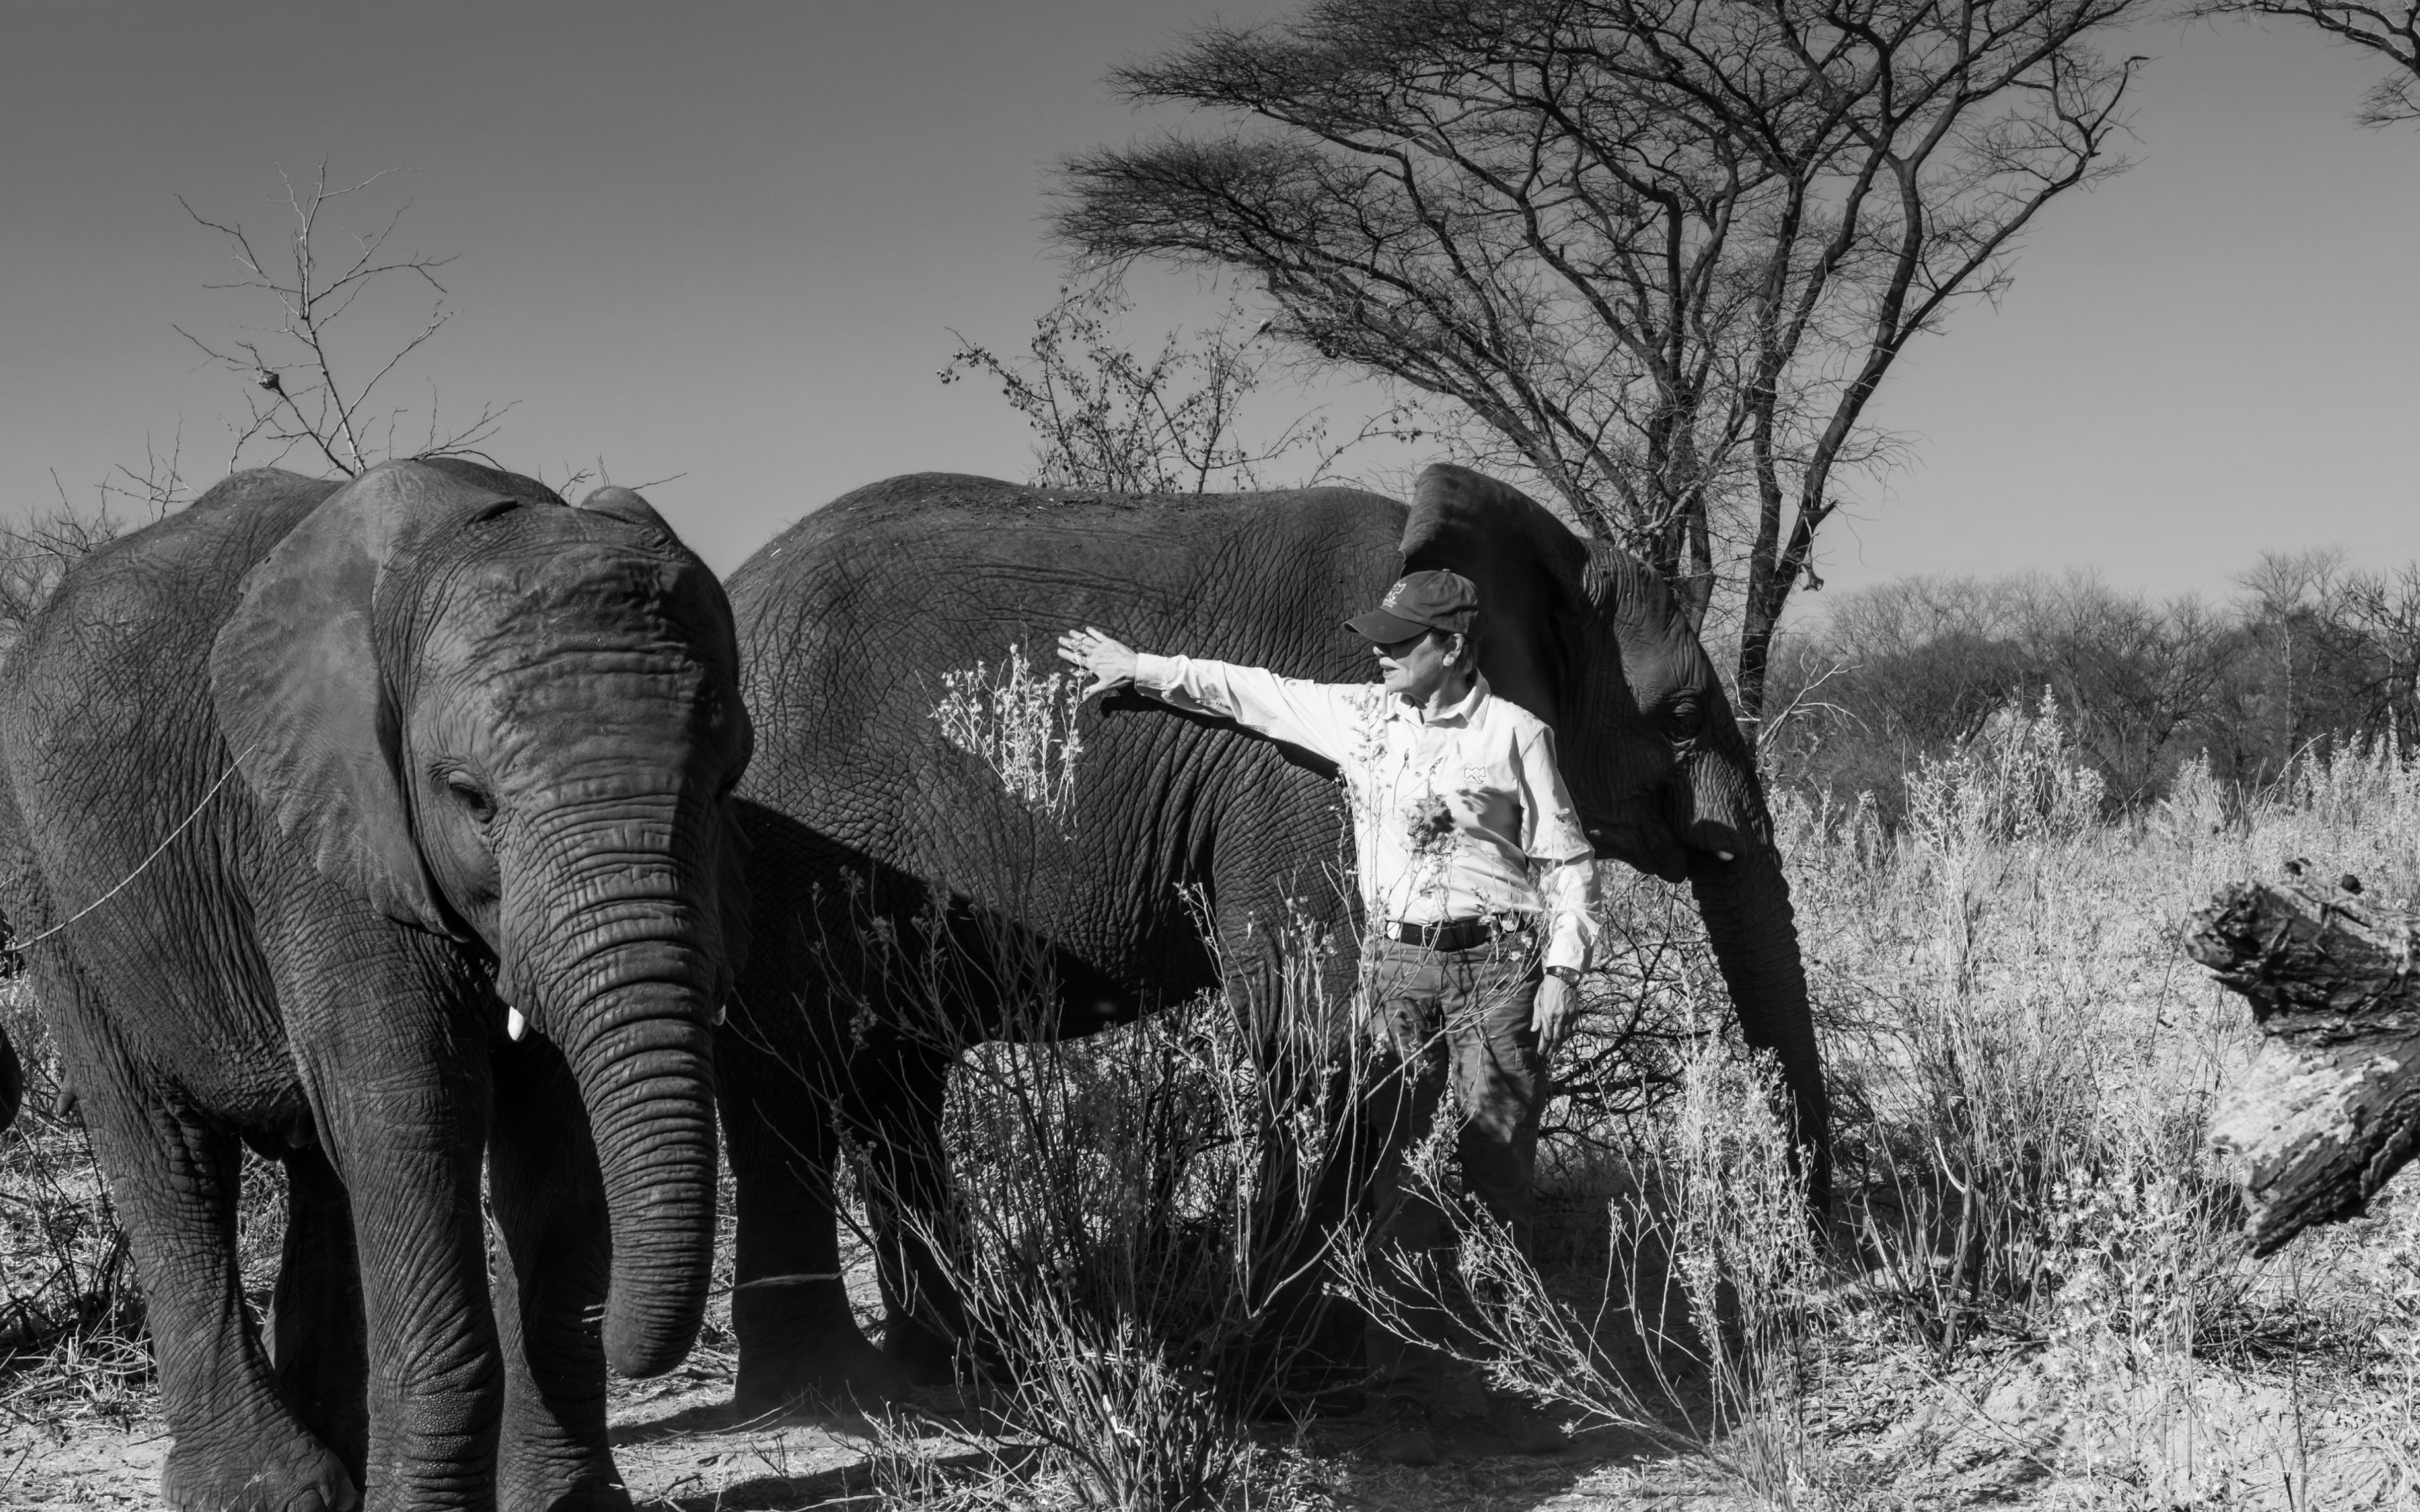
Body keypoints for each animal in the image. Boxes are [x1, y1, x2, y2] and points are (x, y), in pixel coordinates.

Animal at [0, 459, 750, 1509]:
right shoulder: (318, 832)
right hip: (47, 884)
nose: (640, 1345)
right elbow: (415, 1113)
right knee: (164, 1153)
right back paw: (274, 1490)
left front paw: (564, 1506)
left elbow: (554, 1141)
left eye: (727, 781)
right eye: (470, 798)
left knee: (320, 1163)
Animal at [716, 462, 1829, 1403]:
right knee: (786, 1079)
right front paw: (1296, 1381)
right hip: (776, 856)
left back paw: (947, 1371)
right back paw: (827, 1392)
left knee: (889, 1081)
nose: (1825, 1254)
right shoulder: (1302, 775)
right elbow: (1324, 1036)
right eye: (1681, 717)